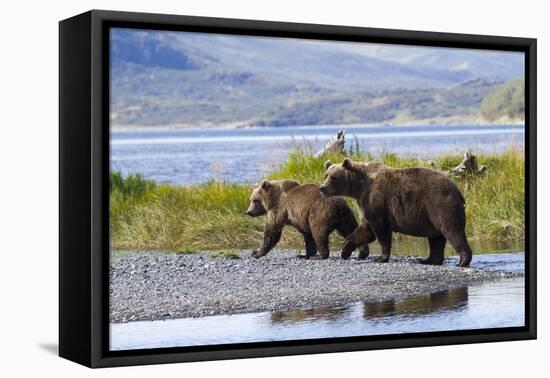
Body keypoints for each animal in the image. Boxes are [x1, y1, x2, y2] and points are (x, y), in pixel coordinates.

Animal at [324, 158, 474, 268]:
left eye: (333, 177)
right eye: (326, 175)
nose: (322, 188)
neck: (359, 188)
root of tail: (457, 190)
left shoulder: (376, 201)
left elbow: (381, 231)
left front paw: (380, 258)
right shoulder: (364, 204)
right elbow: (365, 231)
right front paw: (345, 250)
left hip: (440, 203)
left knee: (452, 230)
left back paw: (462, 261)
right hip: (431, 214)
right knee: (436, 238)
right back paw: (428, 260)